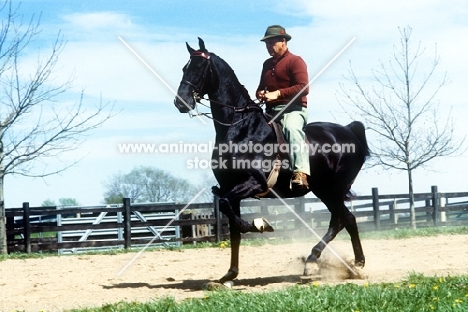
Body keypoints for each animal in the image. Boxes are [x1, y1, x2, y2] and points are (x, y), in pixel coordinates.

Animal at [174, 38, 368, 282]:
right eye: (184, 68)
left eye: (200, 68)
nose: (181, 102)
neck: (241, 128)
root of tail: (349, 131)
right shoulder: (229, 187)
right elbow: (233, 227)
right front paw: (230, 274)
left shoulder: (254, 183)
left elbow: (231, 211)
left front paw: (260, 225)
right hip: (326, 191)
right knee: (348, 219)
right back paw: (357, 265)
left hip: (333, 190)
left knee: (340, 220)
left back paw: (313, 260)